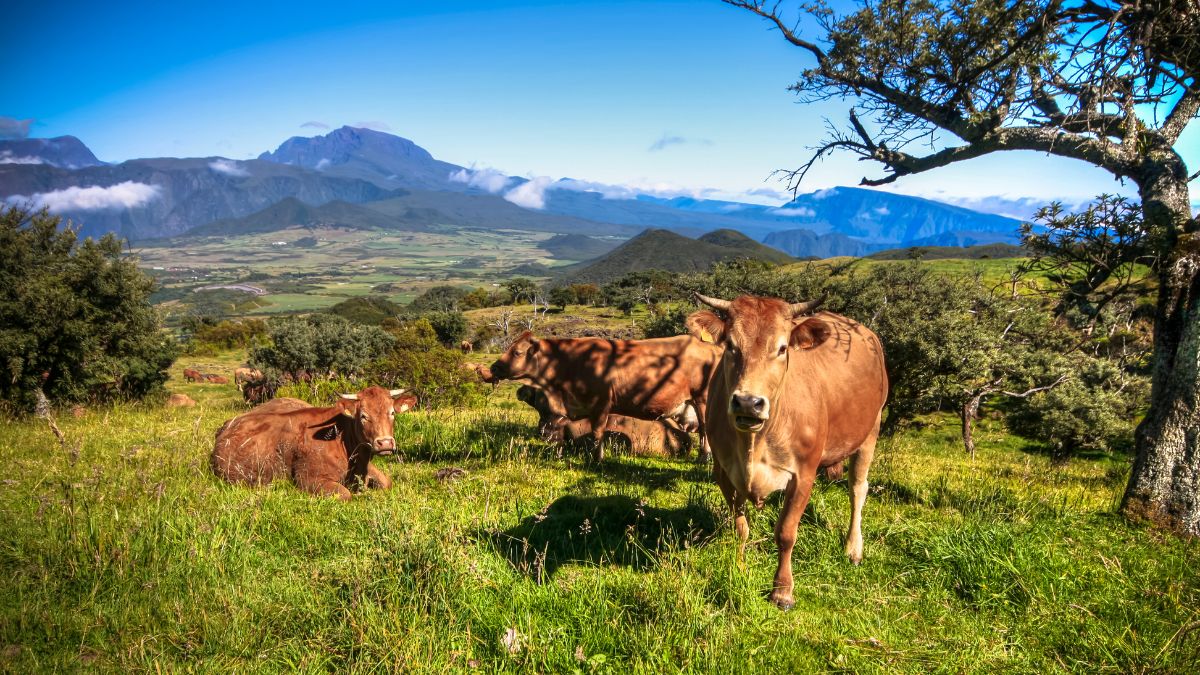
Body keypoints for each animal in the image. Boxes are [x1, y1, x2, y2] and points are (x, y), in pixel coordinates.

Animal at [213, 384, 420, 499]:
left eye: (392, 413)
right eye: (363, 416)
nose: (385, 443)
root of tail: (227, 425)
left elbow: (387, 482)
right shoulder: (308, 478)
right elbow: (345, 494)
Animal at [489, 329, 720, 458]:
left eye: (517, 352)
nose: (494, 367)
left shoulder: (601, 404)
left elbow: (597, 432)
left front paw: (597, 459)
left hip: (703, 400)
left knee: (706, 430)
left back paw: (704, 458)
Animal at [686, 291, 892, 607]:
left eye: (782, 348)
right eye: (731, 346)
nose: (748, 403)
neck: (753, 443)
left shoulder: (802, 474)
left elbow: (786, 533)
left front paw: (782, 590)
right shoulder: (723, 472)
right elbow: (740, 528)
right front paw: (740, 567)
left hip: (871, 429)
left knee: (857, 489)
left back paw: (853, 548)